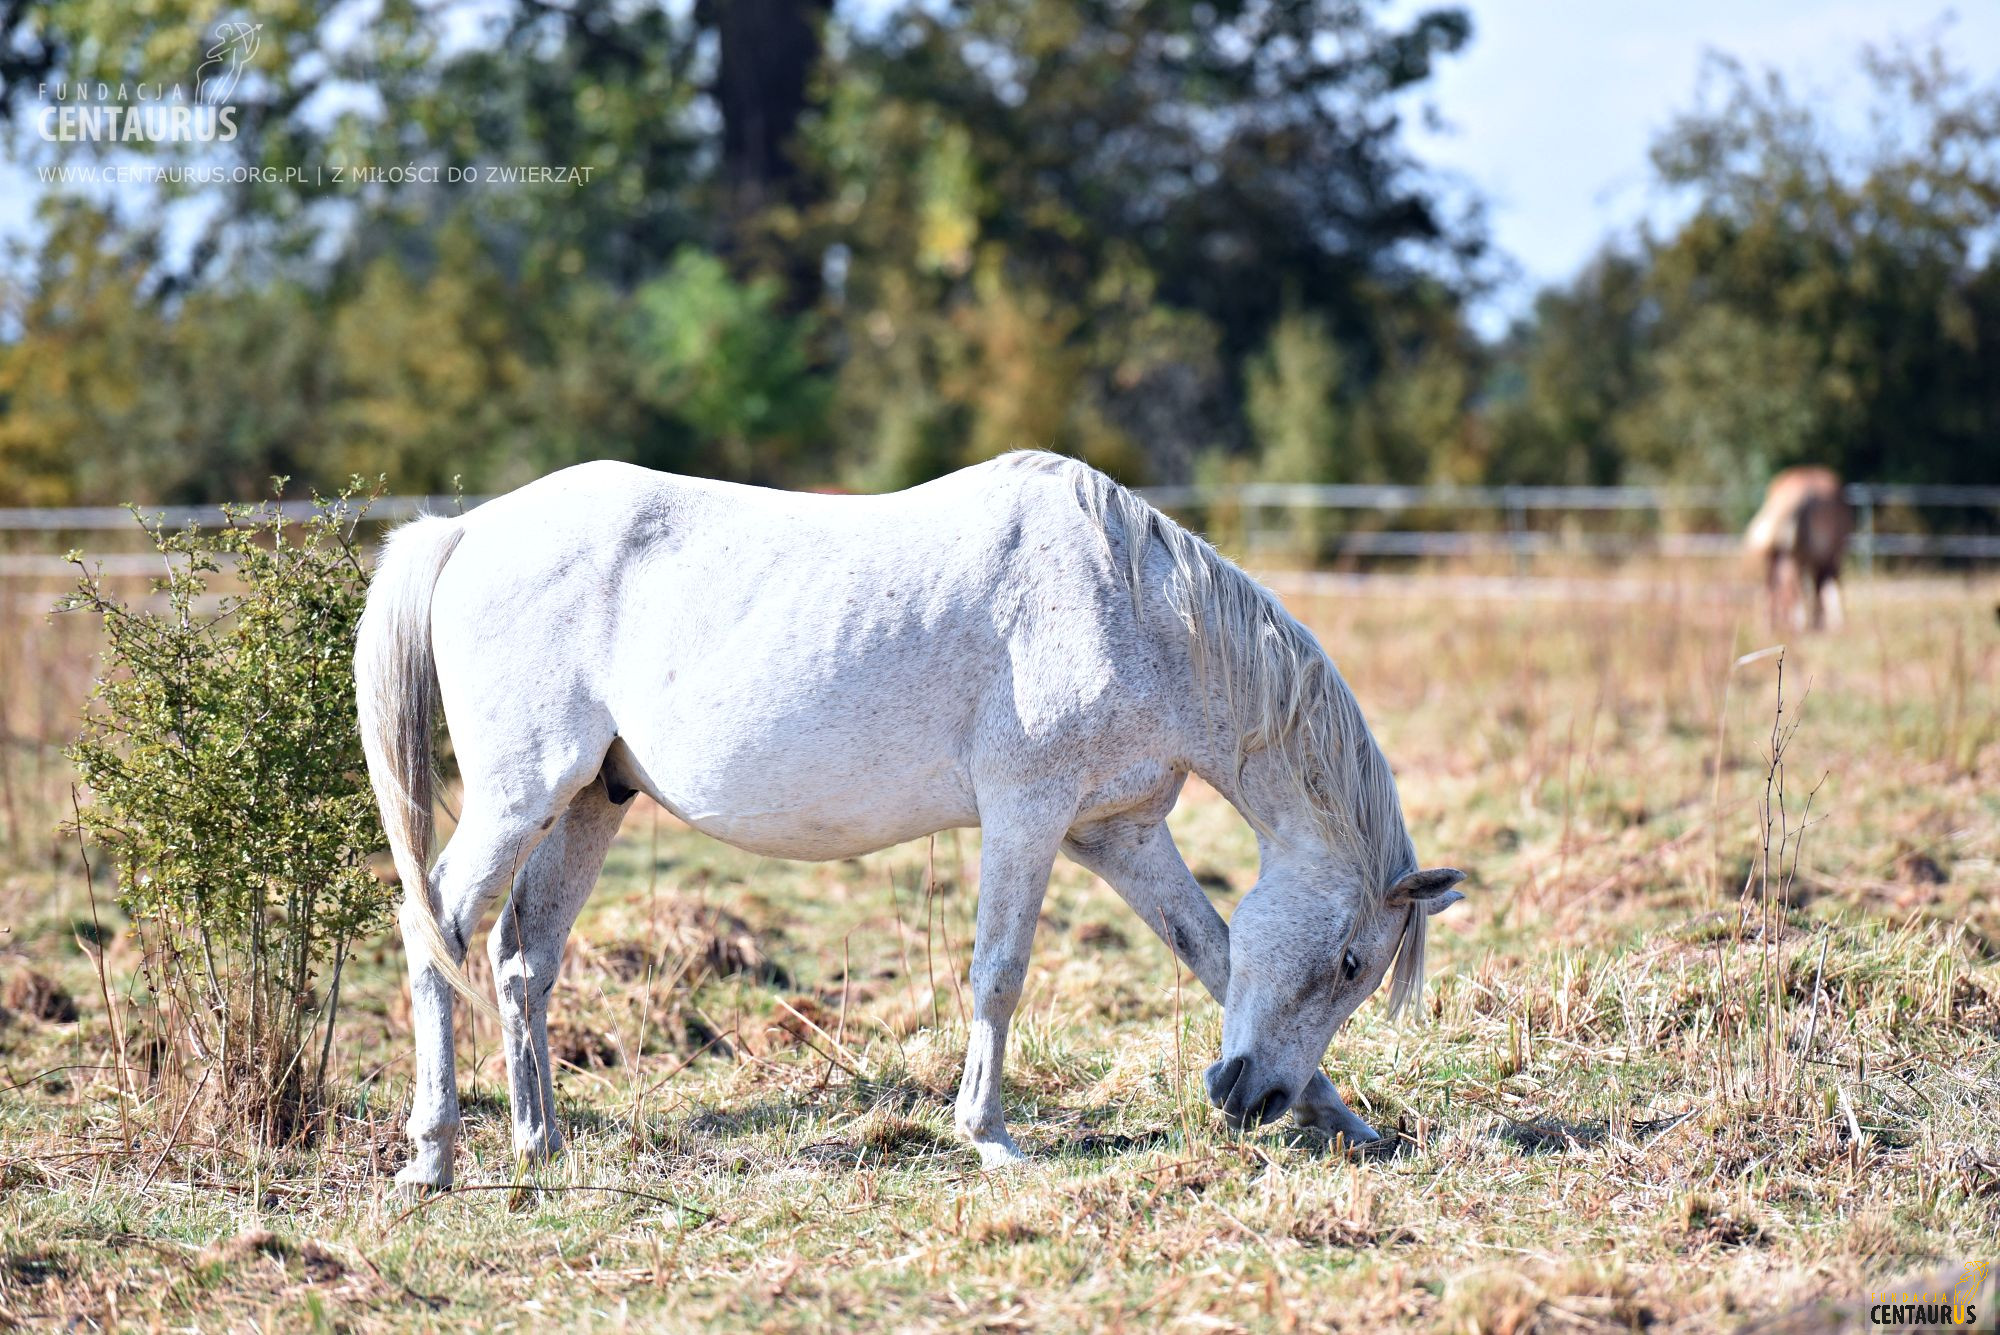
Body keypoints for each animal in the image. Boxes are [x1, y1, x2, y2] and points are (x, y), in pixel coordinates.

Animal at [356, 451, 1456, 1191]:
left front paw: (1343, 1119)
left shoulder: (1119, 834)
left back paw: (538, 1143)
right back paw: (434, 1156)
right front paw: (990, 1136)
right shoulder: (1028, 816)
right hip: (519, 797)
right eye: (1349, 962)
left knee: (521, 959)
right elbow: (999, 974)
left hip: (591, 799)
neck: (1135, 608)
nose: (1248, 1097)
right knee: (436, 926)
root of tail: (463, 533)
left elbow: (1216, 954)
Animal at [1744, 467, 1848, 635]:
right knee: (1797, 587)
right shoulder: (1827, 556)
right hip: (1800, 557)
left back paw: (1769, 627)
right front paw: (1822, 623)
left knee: (1771, 589)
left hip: (1775, 558)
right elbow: (1823, 586)